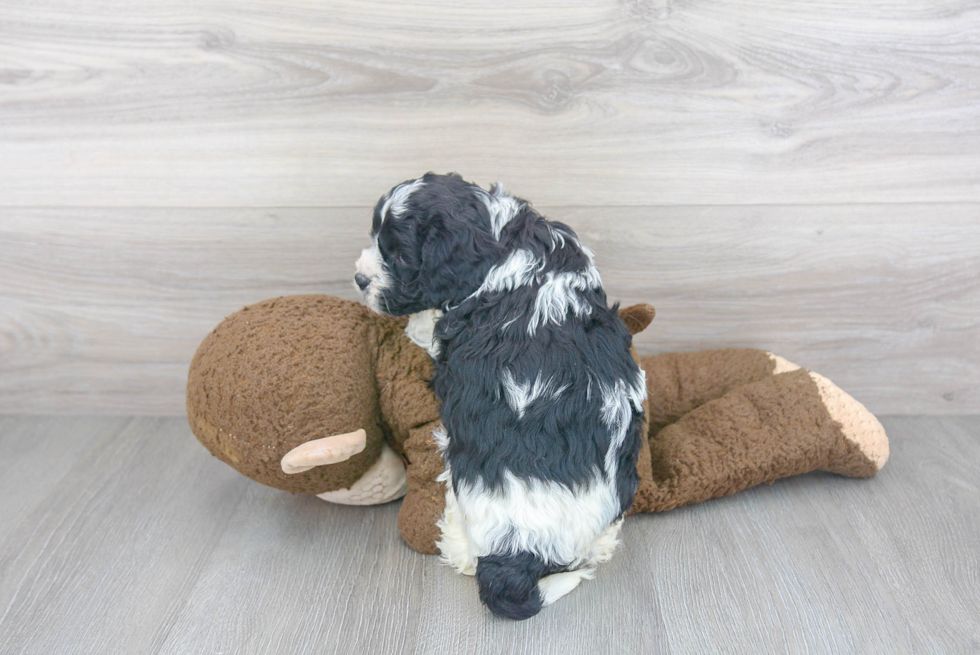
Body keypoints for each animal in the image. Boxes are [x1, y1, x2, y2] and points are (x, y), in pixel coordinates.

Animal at [356, 170, 648, 620]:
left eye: (401, 258)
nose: (359, 278)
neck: (503, 240)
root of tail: (523, 549)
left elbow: (424, 325)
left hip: (460, 497)